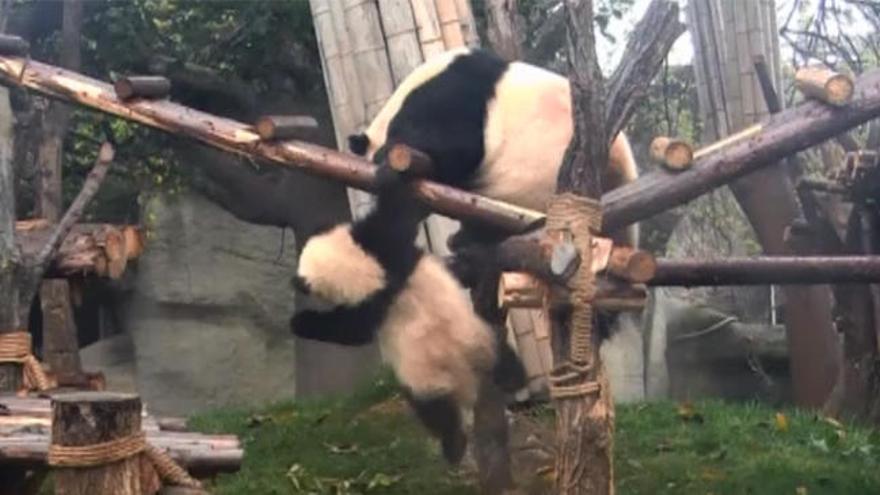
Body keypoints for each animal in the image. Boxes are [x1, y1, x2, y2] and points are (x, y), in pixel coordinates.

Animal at [288, 177, 524, 464]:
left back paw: (453, 445)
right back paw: (514, 377)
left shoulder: (372, 295)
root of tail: (465, 368)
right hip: (478, 333)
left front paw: (300, 321)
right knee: (502, 356)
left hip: (425, 373)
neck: (370, 276)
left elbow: (351, 331)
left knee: (433, 407)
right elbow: (399, 214)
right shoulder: (387, 250)